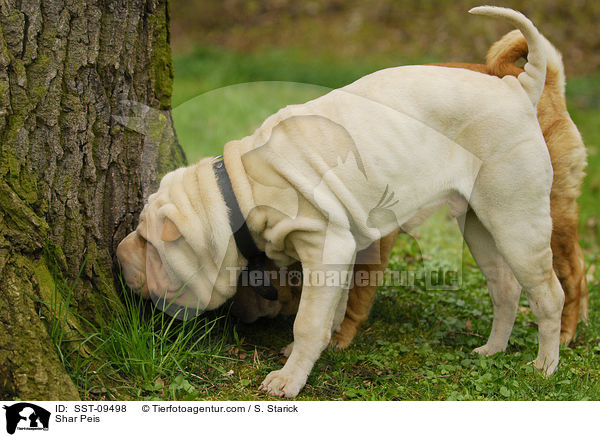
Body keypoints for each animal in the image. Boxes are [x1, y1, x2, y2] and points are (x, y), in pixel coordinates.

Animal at [232, 29, 588, 346]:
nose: (237, 318)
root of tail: (534, 84)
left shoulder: (376, 239)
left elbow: (358, 289)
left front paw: (340, 335)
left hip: (537, 215)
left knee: (571, 272)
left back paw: (565, 333)